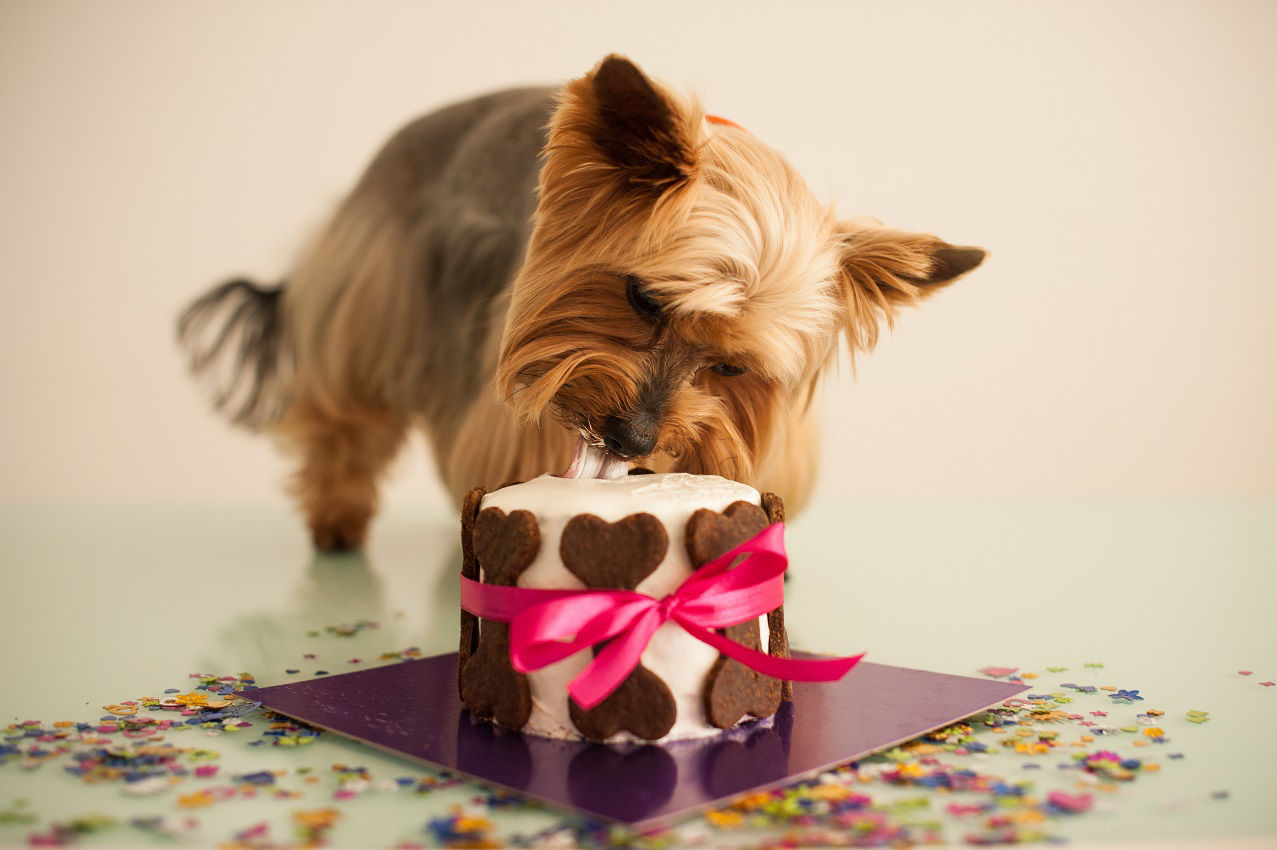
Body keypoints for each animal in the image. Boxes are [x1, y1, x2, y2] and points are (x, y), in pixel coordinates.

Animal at [174, 56, 980, 553]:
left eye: (733, 366)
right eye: (644, 298)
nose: (632, 438)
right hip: (376, 290)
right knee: (345, 417)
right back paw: (337, 520)